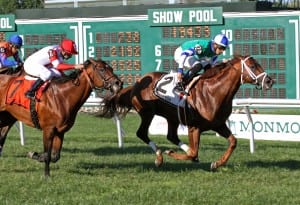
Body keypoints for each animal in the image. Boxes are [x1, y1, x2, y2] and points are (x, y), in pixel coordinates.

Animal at [101, 55, 274, 171]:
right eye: (252, 66)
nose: (269, 81)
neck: (214, 92)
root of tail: (137, 82)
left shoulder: (218, 125)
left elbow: (233, 142)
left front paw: (217, 163)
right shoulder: (194, 127)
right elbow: (194, 152)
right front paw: (172, 152)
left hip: (172, 117)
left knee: (171, 135)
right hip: (147, 113)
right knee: (142, 133)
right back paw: (159, 156)